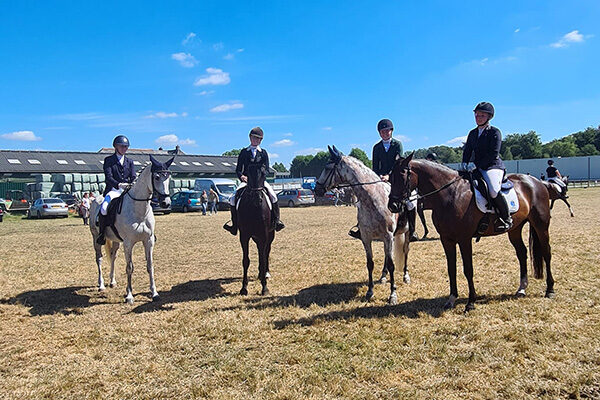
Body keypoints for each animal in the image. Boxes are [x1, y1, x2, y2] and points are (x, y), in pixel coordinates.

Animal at [89, 155, 173, 304]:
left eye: (169, 177)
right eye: (157, 177)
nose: (166, 203)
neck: (139, 211)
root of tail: (95, 199)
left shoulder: (148, 241)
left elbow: (150, 266)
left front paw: (154, 293)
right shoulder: (128, 243)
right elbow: (129, 268)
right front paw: (129, 296)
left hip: (116, 240)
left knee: (113, 256)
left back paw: (112, 282)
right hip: (96, 238)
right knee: (99, 258)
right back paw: (101, 285)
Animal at [238, 164, 276, 296]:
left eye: (264, 175)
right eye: (248, 175)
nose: (257, 199)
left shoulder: (264, 235)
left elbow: (263, 258)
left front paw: (264, 287)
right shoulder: (244, 236)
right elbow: (246, 260)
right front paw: (244, 288)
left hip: (270, 235)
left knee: (266, 252)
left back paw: (266, 273)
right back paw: (261, 274)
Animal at [312, 145, 410, 304]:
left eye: (327, 168)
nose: (317, 189)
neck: (373, 200)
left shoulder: (388, 236)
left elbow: (392, 264)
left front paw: (392, 295)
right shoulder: (366, 237)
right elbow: (370, 264)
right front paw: (370, 292)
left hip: (406, 233)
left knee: (405, 251)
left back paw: (406, 276)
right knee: (386, 256)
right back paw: (383, 277)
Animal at [386, 153, 556, 312]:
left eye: (402, 175)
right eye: (390, 176)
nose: (393, 206)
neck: (450, 194)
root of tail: (536, 182)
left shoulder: (464, 239)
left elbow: (468, 269)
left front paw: (471, 302)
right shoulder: (446, 240)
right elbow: (451, 269)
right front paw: (451, 299)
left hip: (541, 226)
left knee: (547, 253)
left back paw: (550, 290)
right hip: (515, 229)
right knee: (522, 253)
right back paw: (521, 288)